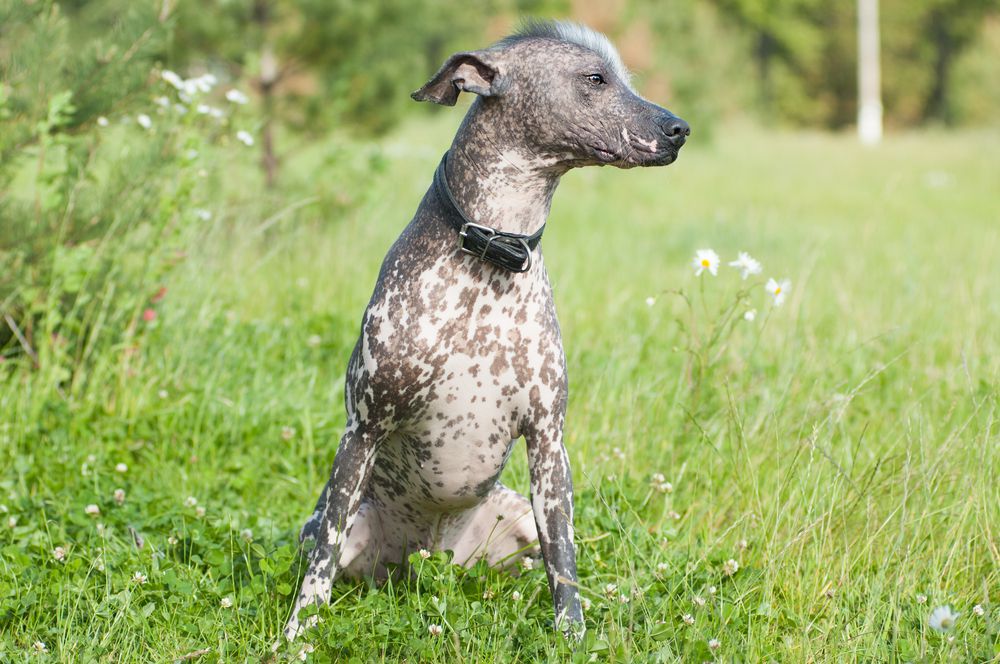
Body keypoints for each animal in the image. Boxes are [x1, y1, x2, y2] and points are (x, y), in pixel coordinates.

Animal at [284, 20, 688, 640]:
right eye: (595, 79)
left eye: (624, 78)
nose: (679, 129)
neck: (494, 248)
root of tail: (420, 558)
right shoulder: (364, 429)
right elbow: (324, 556)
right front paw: (297, 633)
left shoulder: (549, 443)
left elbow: (565, 563)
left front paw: (572, 637)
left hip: (518, 517)